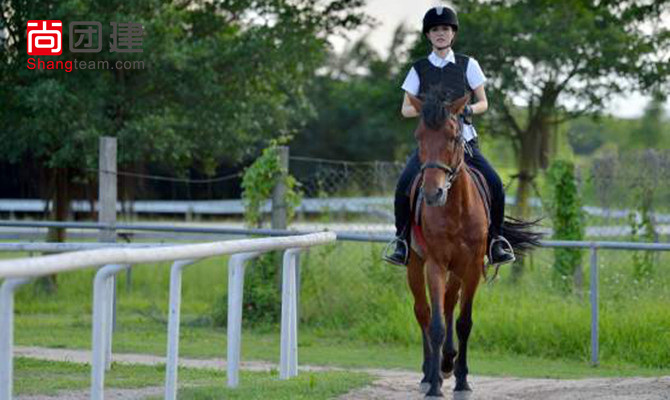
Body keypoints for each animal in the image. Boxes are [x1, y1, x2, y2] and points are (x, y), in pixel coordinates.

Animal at [404, 91, 540, 396]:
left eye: (454, 136)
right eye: (418, 136)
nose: (433, 193)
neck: (455, 210)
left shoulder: (472, 267)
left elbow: (463, 322)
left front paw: (462, 379)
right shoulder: (435, 265)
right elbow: (436, 325)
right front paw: (434, 386)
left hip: (457, 271)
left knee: (448, 303)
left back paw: (447, 363)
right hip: (415, 266)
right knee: (423, 312)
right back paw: (429, 372)